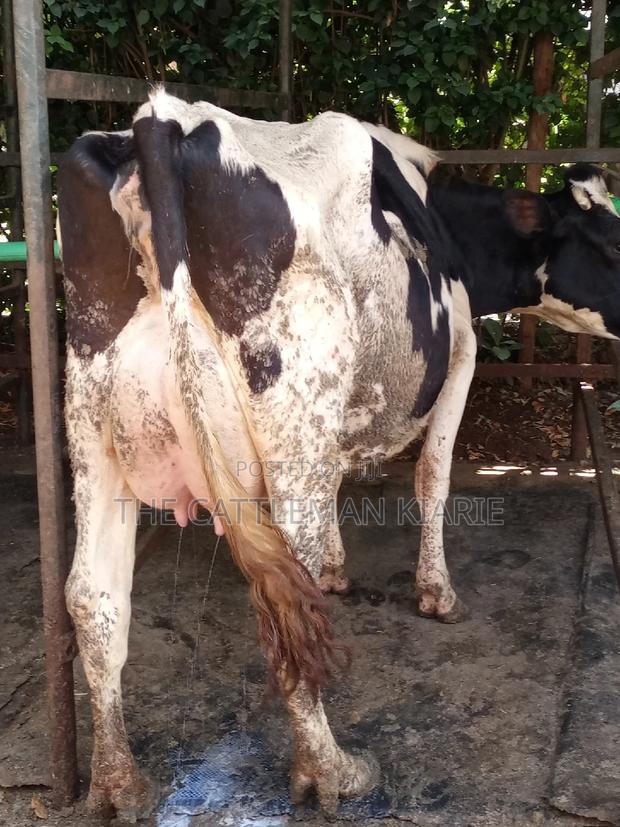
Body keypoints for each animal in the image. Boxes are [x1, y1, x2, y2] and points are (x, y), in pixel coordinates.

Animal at [58, 90, 620, 820]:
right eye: (611, 241)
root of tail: (162, 117)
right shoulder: (461, 357)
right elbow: (433, 476)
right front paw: (436, 591)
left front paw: (334, 565)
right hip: (286, 419)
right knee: (284, 606)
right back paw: (332, 771)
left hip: (93, 432)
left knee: (92, 596)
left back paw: (116, 782)